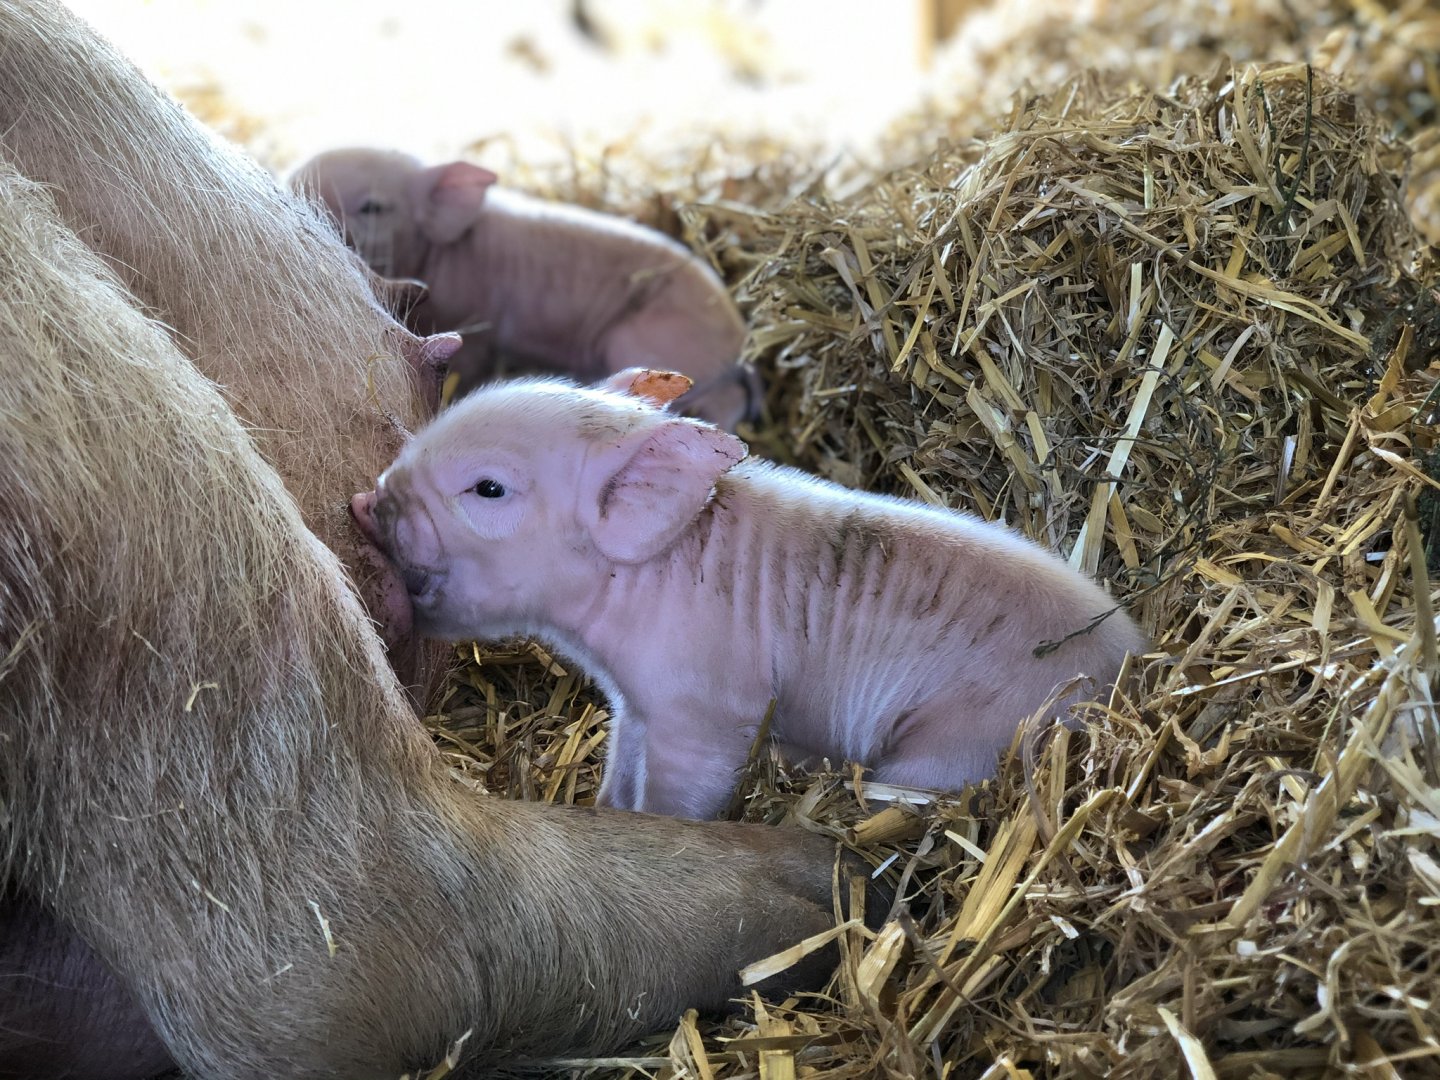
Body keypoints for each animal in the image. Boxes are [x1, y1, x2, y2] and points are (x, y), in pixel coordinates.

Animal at [353, 369, 1149, 821]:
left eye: (488, 488)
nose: (366, 500)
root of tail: (1136, 662)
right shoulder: (636, 705)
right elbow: (621, 768)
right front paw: (606, 811)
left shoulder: (707, 707)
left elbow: (680, 795)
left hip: (966, 742)